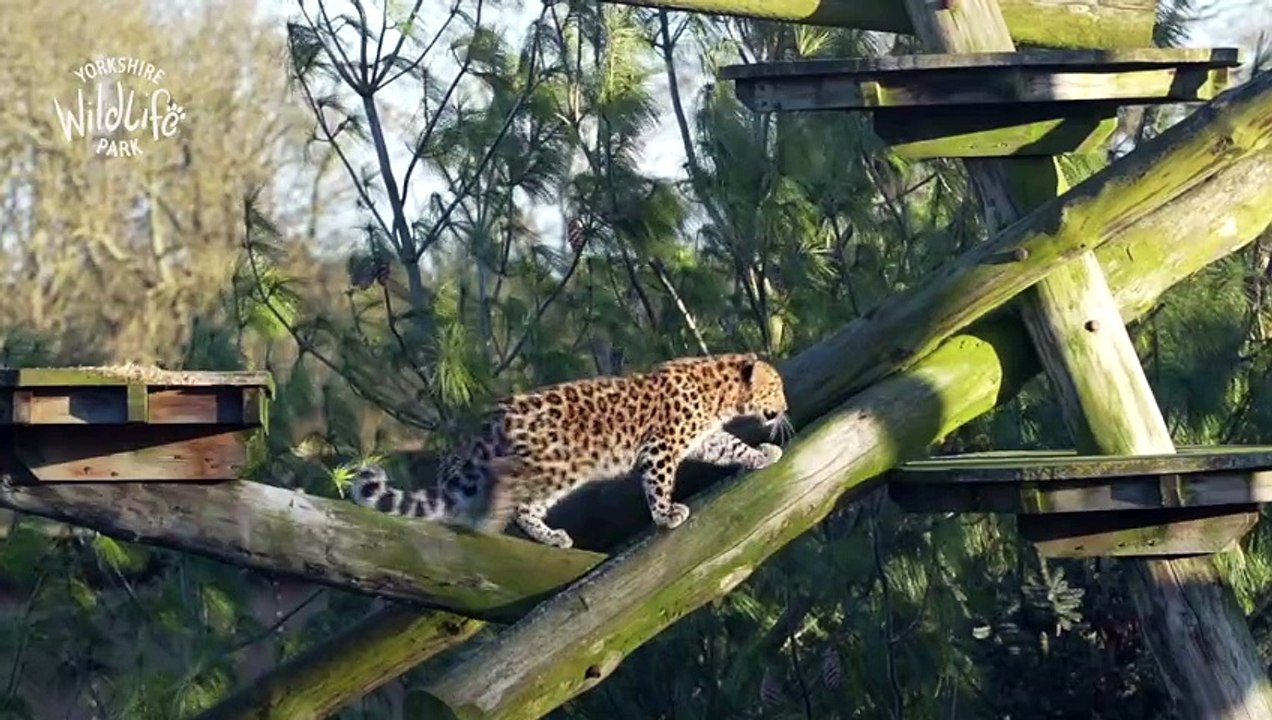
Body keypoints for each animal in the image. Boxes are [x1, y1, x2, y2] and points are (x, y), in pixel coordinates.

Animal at [349, 352, 792, 549]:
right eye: (776, 388)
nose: (785, 408)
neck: (720, 392)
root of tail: (493, 419)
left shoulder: (704, 438)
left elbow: (733, 447)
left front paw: (761, 455)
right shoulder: (661, 447)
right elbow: (659, 484)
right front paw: (666, 516)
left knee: (523, 504)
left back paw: (548, 535)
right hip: (556, 465)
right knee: (512, 493)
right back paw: (495, 518)